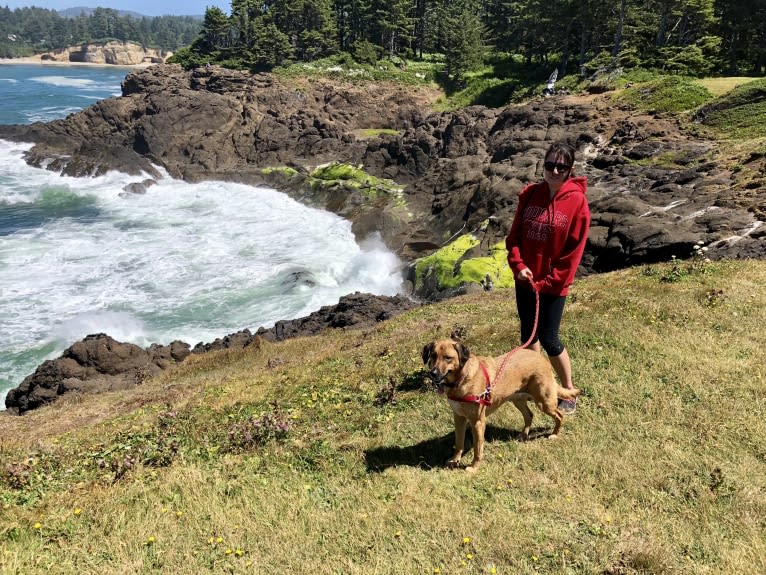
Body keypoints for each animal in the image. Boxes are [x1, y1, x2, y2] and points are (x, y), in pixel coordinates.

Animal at [424, 340, 580, 470]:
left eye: (448, 358)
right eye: (433, 355)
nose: (433, 373)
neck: (461, 379)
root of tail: (540, 357)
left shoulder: (478, 422)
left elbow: (477, 448)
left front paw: (474, 467)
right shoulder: (458, 418)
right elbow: (459, 443)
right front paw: (454, 460)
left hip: (544, 402)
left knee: (559, 415)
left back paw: (554, 434)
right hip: (517, 400)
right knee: (529, 415)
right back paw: (523, 435)